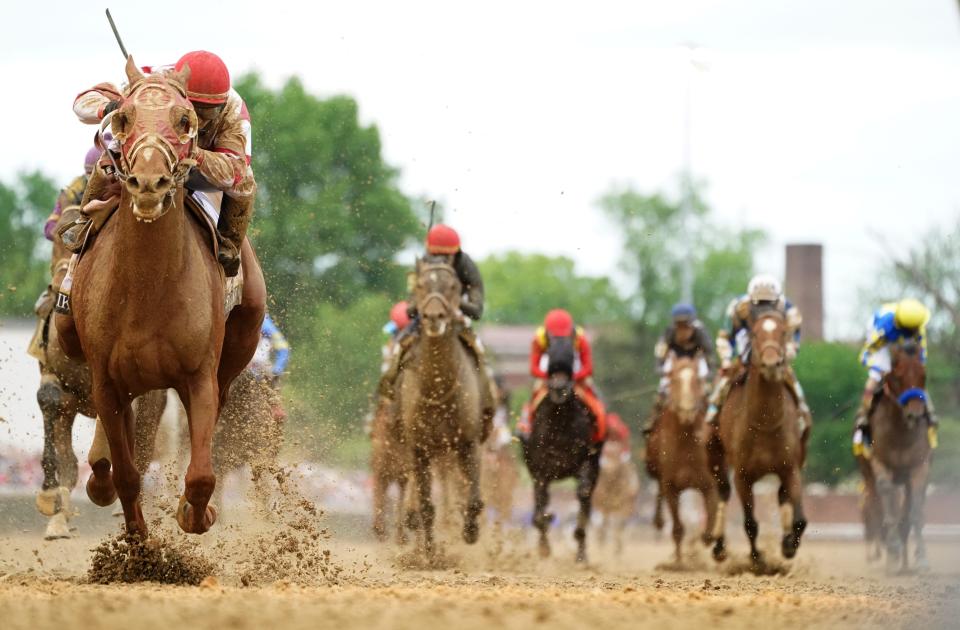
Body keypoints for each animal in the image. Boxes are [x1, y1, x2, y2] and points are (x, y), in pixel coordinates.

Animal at [55, 58, 266, 540]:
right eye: (123, 117)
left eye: (185, 120)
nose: (148, 183)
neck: (146, 289)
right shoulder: (107, 382)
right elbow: (126, 474)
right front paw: (138, 542)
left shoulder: (200, 376)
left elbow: (202, 474)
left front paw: (195, 513)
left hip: (237, 348)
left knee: (242, 180)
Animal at [516, 338, 600, 564]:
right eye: (550, 354)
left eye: (571, 355)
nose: (559, 388)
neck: (560, 423)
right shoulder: (540, 471)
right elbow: (539, 511)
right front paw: (544, 546)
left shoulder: (586, 460)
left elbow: (583, 493)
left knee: (586, 498)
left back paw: (581, 552)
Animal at [648, 356, 716, 564]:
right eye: (674, 380)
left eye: (697, 380)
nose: (687, 411)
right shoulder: (670, 485)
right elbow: (677, 528)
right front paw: (678, 562)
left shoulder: (709, 483)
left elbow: (709, 531)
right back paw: (659, 521)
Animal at [704, 314, 808, 564]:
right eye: (754, 333)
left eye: (783, 332)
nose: (771, 364)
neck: (765, 422)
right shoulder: (743, 476)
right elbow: (750, 522)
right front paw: (757, 559)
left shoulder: (790, 469)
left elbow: (800, 519)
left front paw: (788, 545)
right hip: (714, 454)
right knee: (722, 492)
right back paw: (719, 547)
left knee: (782, 497)